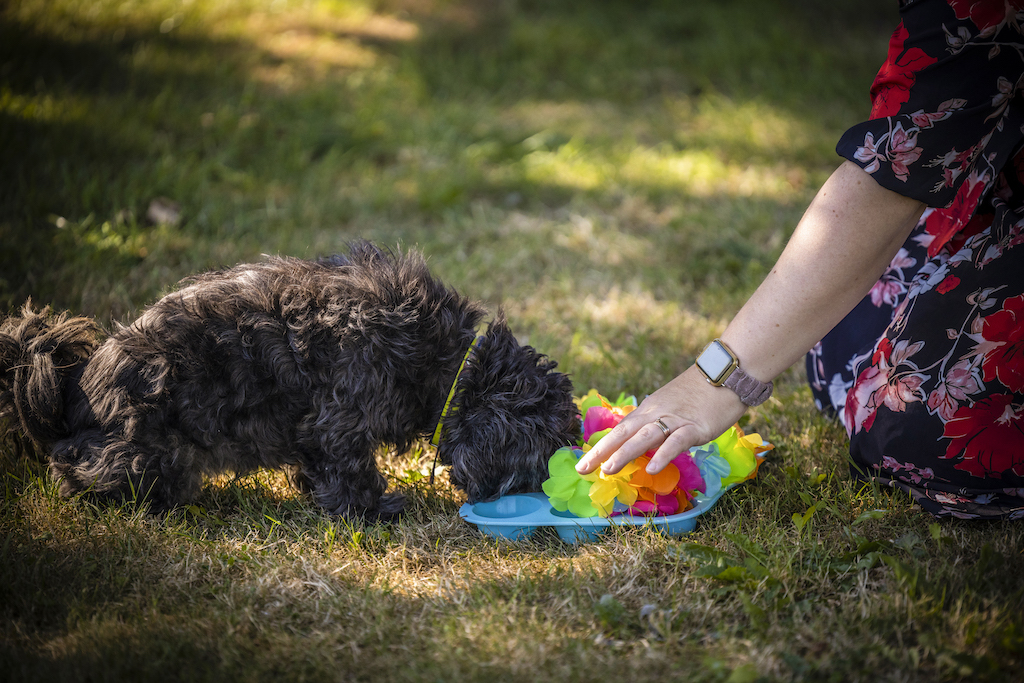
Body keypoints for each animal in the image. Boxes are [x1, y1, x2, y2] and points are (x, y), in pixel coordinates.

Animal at [0, 244, 581, 518]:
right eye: (548, 450)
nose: (555, 491)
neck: (449, 364)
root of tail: (69, 406)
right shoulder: (342, 414)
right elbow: (350, 470)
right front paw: (374, 512)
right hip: (140, 455)